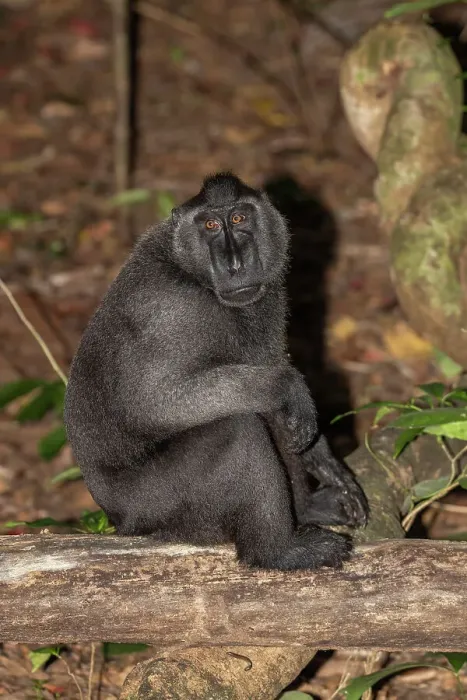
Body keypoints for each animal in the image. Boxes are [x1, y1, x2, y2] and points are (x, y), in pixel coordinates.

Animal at [64, 173, 368, 570]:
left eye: (239, 218)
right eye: (210, 225)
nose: (235, 264)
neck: (191, 273)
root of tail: (120, 521)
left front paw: (328, 464)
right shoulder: (171, 311)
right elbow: (151, 403)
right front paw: (289, 386)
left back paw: (306, 511)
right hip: (161, 507)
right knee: (239, 428)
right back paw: (277, 551)